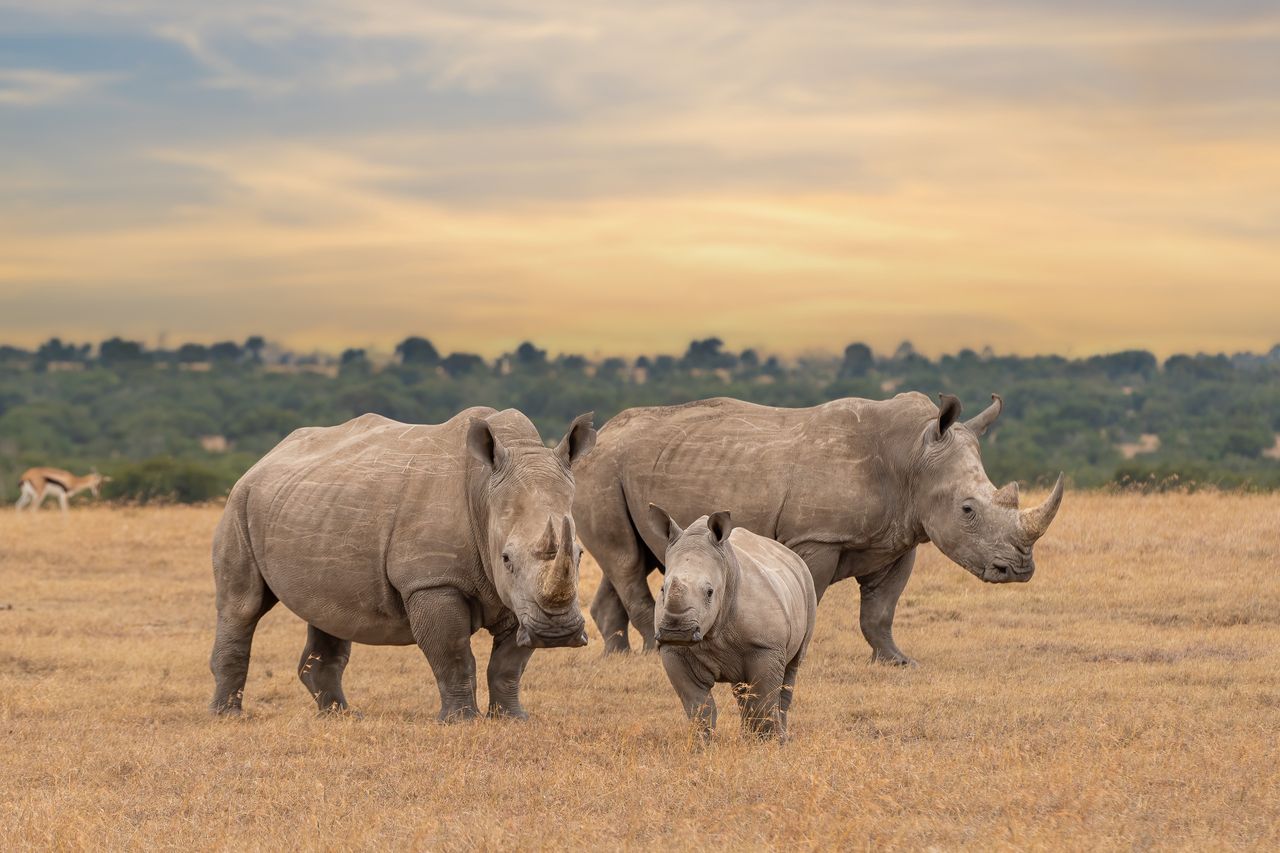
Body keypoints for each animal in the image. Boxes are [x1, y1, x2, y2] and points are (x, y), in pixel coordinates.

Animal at [207, 404, 596, 717]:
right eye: (506, 559)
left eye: (579, 554)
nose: (557, 633)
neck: (485, 491)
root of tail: (265, 458)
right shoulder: (431, 581)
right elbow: (453, 655)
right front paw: (460, 721)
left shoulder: (519, 597)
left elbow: (508, 665)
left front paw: (512, 719)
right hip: (240, 502)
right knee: (242, 606)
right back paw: (228, 716)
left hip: (310, 506)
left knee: (327, 611)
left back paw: (341, 716)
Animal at [576, 389, 1064, 660]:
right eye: (967, 510)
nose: (1019, 570)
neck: (912, 455)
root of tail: (596, 438)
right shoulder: (817, 538)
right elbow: (808, 595)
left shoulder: (901, 537)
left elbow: (881, 611)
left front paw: (896, 661)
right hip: (602, 470)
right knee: (624, 560)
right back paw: (652, 651)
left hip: (631, 470)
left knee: (633, 559)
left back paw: (619, 656)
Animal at [650, 504, 819, 737]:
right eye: (662, 589)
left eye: (710, 592)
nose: (676, 632)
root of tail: (791, 554)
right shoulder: (672, 650)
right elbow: (698, 706)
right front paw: (701, 742)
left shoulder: (766, 646)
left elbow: (763, 700)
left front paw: (765, 742)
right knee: (742, 690)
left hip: (807, 584)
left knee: (791, 670)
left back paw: (780, 736)